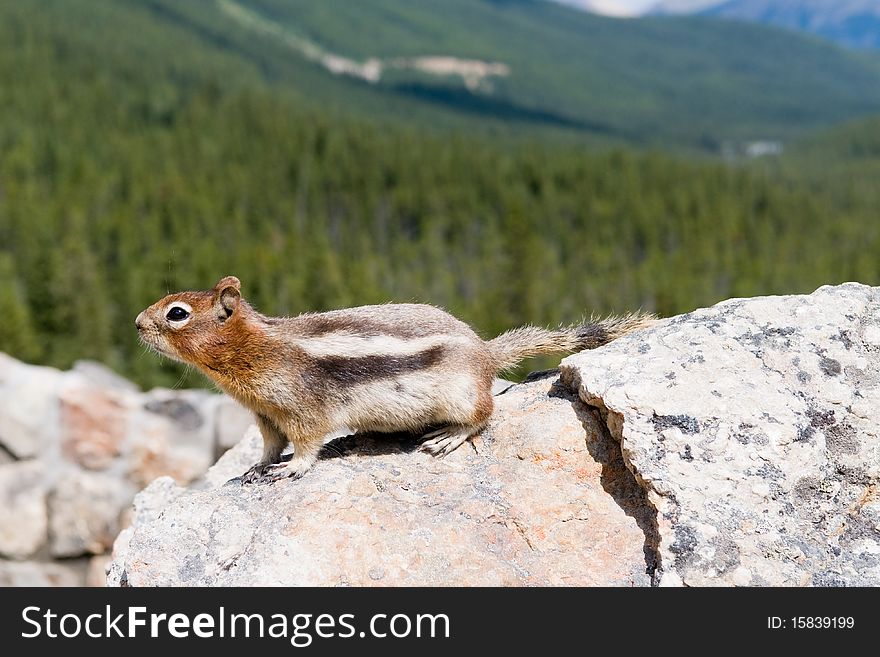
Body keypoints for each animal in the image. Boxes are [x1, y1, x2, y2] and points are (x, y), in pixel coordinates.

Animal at [138, 274, 656, 484]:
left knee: (485, 414)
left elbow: (307, 445)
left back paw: (449, 436)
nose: (138, 324)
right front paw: (257, 467)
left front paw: (292, 469)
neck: (252, 351)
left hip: (461, 395)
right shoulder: (266, 415)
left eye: (177, 313)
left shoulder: (304, 408)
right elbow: (268, 445)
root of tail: (485, 353)